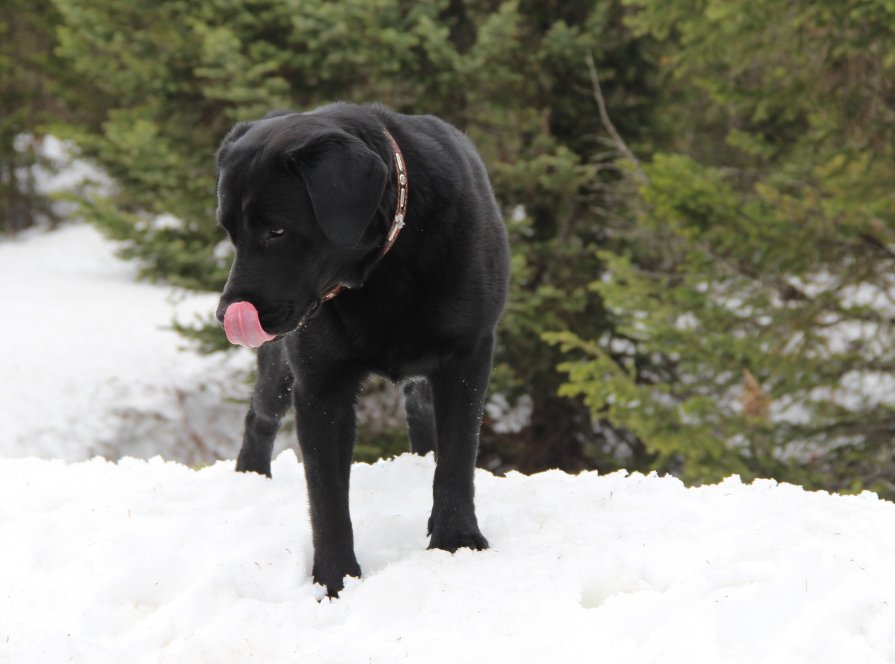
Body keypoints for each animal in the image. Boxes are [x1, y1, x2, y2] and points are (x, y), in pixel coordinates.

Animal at [214, 104, 512, 596]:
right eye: (229, 232)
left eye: (277, 230)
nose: (226, 315)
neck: (383, 267)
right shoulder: (320, 384)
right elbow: (328, 496)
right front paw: (335, 580)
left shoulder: (467, 356)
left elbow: (456, 459)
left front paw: (456, 541)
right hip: (279, 370)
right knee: (259, 417)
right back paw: (250, 480)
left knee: (422, 417)